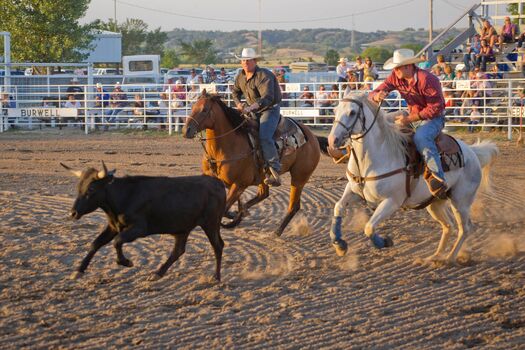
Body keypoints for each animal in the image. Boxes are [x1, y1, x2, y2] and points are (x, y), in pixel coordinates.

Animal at [183, 91, 324, 237]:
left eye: (204, 109)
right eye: (192, 107)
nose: (186, 130)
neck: (222, 150)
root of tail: (313, 137)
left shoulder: (239, 184)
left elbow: (225, 208)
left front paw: (234, 217)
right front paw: (236, 215)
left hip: (299, 177)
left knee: (293, 206)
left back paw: (276, 232)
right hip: (265, 176)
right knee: (264, 194)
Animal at [326, 91, 498, 264]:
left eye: (352, 112)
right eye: (335, 111)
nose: (332, 140)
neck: (370, 160)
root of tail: (472, 152)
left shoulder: (392, 201)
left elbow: (369, 227)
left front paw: (385, 242)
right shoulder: (353, 190)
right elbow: (338, 207)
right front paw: (339, 245)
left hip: (461, 201)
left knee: (466, 229)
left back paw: (449, 258)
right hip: (435, 203)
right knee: (448, 225)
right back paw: (435, 256)